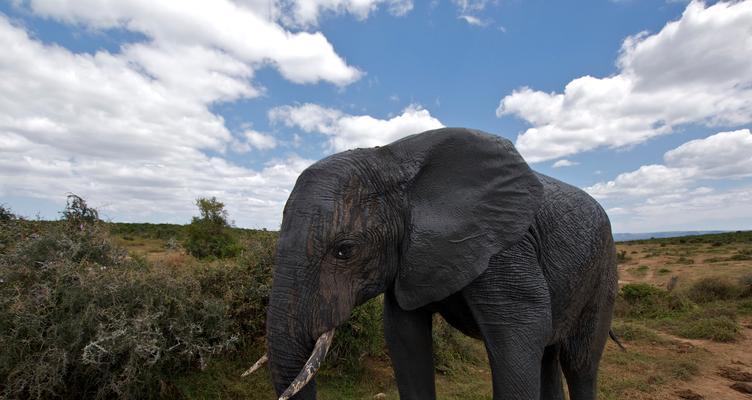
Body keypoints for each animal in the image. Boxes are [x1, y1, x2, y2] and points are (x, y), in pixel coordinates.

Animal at [245, 128, 616, 400]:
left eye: (344, 250)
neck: (393, 161)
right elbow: (404, 338)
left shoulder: (505, 246)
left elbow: (520, 334)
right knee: (549, 357)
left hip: (604, 269)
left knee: (579, 364)